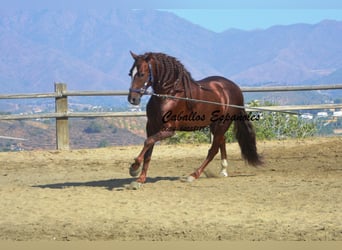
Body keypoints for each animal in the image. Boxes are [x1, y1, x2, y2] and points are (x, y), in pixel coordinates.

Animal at [127, 51, 264, 188]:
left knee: (213, 150)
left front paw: (134, 167)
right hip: (215, 125)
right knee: (222, 141)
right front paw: (140, 179)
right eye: (130, 73)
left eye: (141, 74)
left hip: (223, 124)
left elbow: (148, 142)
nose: (132, 99)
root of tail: (235, 88)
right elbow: (149, 151)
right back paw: (223, 171)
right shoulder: (151, 127)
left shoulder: (169, 130)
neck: (169, 95)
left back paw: (193, 175)